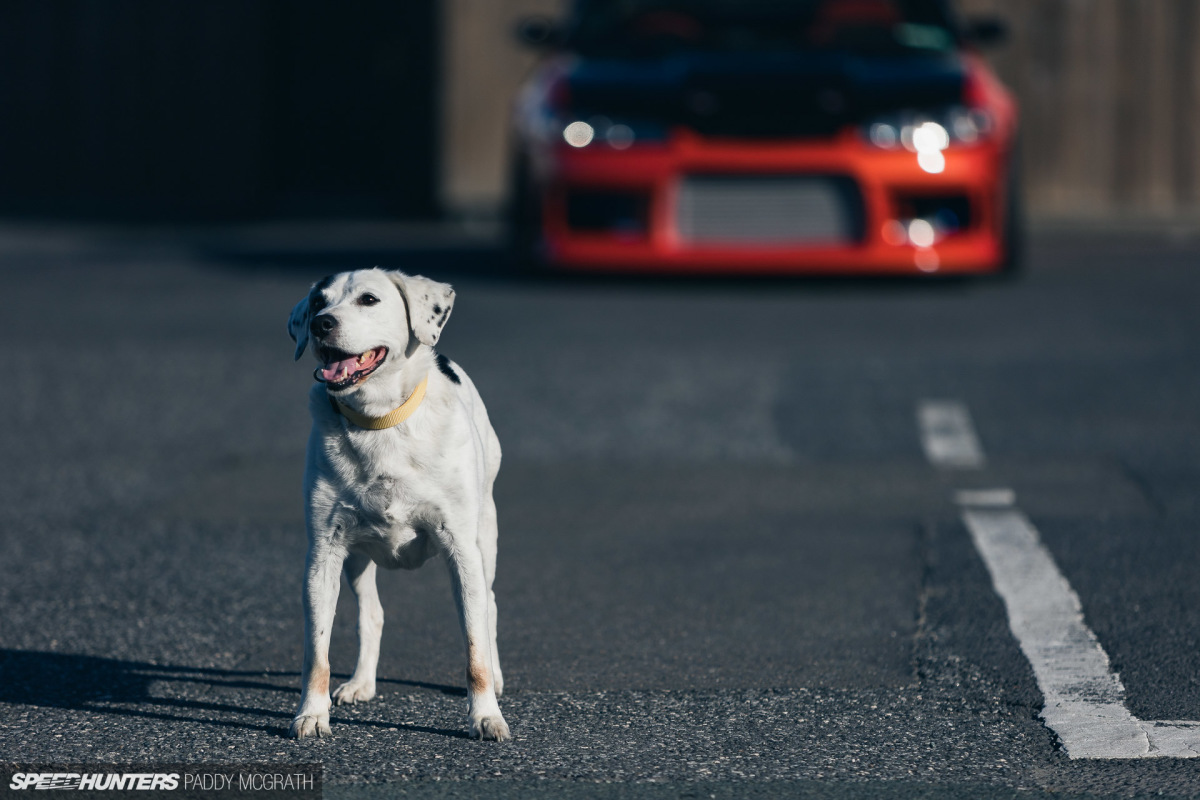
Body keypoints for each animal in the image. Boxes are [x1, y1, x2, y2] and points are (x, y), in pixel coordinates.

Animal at [288, 268, 508, 743]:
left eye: (369, 299)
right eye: (318, 302)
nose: (321, 324)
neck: (379, 422)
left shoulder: (462, 552)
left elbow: (475, 650)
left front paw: (486, 716)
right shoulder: (324, 554)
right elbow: (317, 653)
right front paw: (312, 714)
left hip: (485, 537)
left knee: (490, 607)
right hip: (356, 559)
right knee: (372, 614)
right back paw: (361, 683)